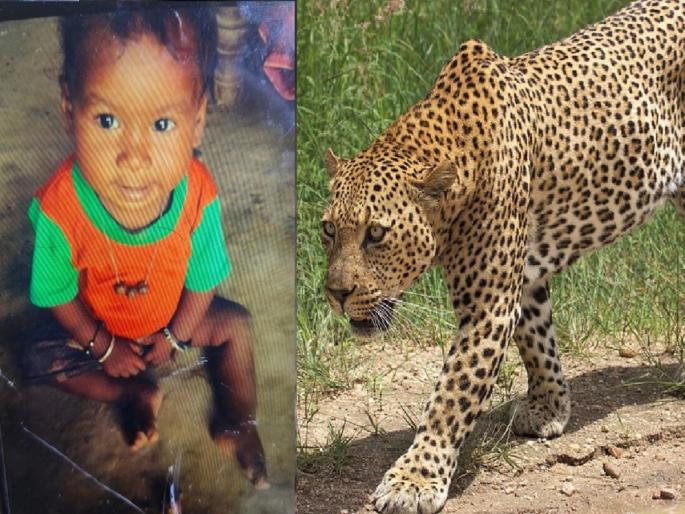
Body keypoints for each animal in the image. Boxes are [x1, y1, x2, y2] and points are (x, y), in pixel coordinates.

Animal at [319, 1, 685, 513]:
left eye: (376, 234)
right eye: (329, 230)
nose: (336, 293)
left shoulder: (487, 304)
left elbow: (452, 394)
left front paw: (414, 479)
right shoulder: (520, 280)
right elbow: (537, 341)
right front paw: (550, 407)